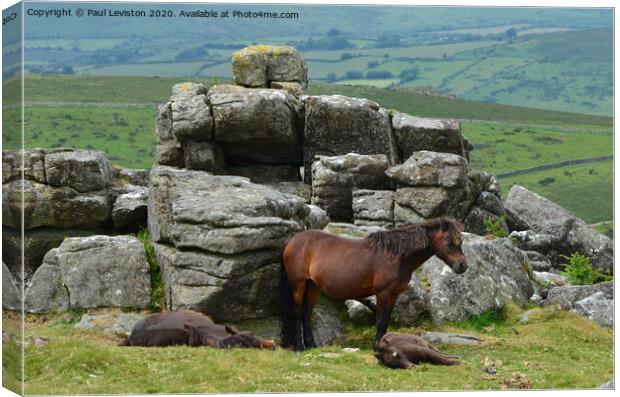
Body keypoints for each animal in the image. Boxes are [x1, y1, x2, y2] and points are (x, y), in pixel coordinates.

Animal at [280, 217, 464, 350]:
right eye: (449, 243)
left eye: (460, 243)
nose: (463, 265)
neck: (396, 256)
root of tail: (292, 241)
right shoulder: (383, 293)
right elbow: (380, 321)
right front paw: (377, 347)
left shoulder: (393, 295)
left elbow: (385, 321)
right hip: (298, 285)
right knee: (298, 313)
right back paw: (299, 347)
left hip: (313, 286)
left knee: (307, 314)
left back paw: (312, 345)